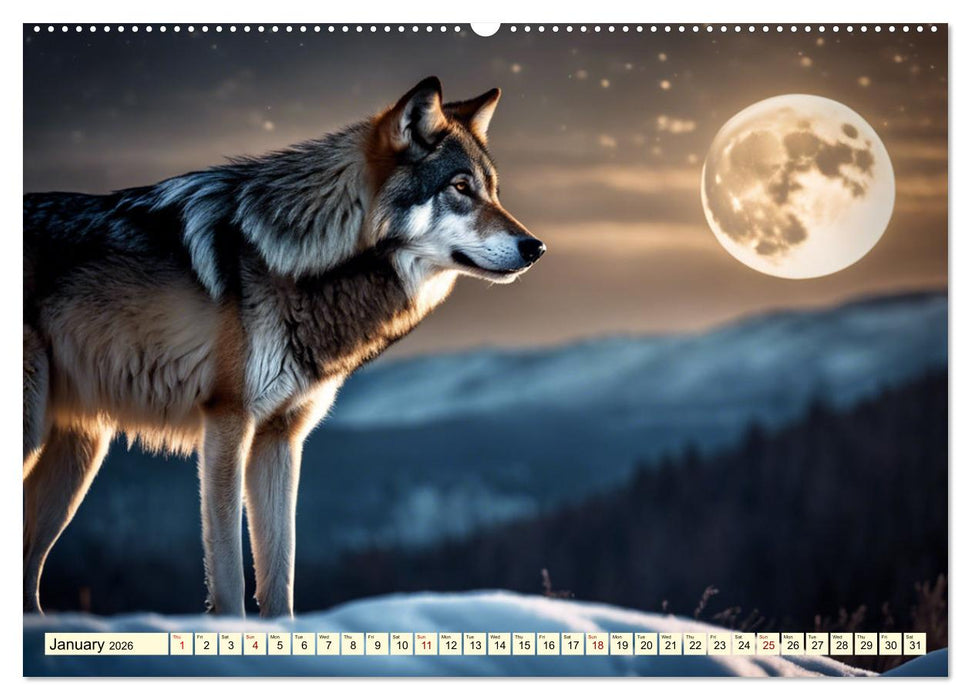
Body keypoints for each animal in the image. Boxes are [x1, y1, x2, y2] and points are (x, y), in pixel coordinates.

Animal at [23, 77, 544, 617]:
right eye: (460, 188)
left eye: (494, 192)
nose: (536, 247)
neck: (294, 262)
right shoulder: (226, 426)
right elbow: (230, 577)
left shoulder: (281, 438)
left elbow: (280, 578)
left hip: (80, 452)